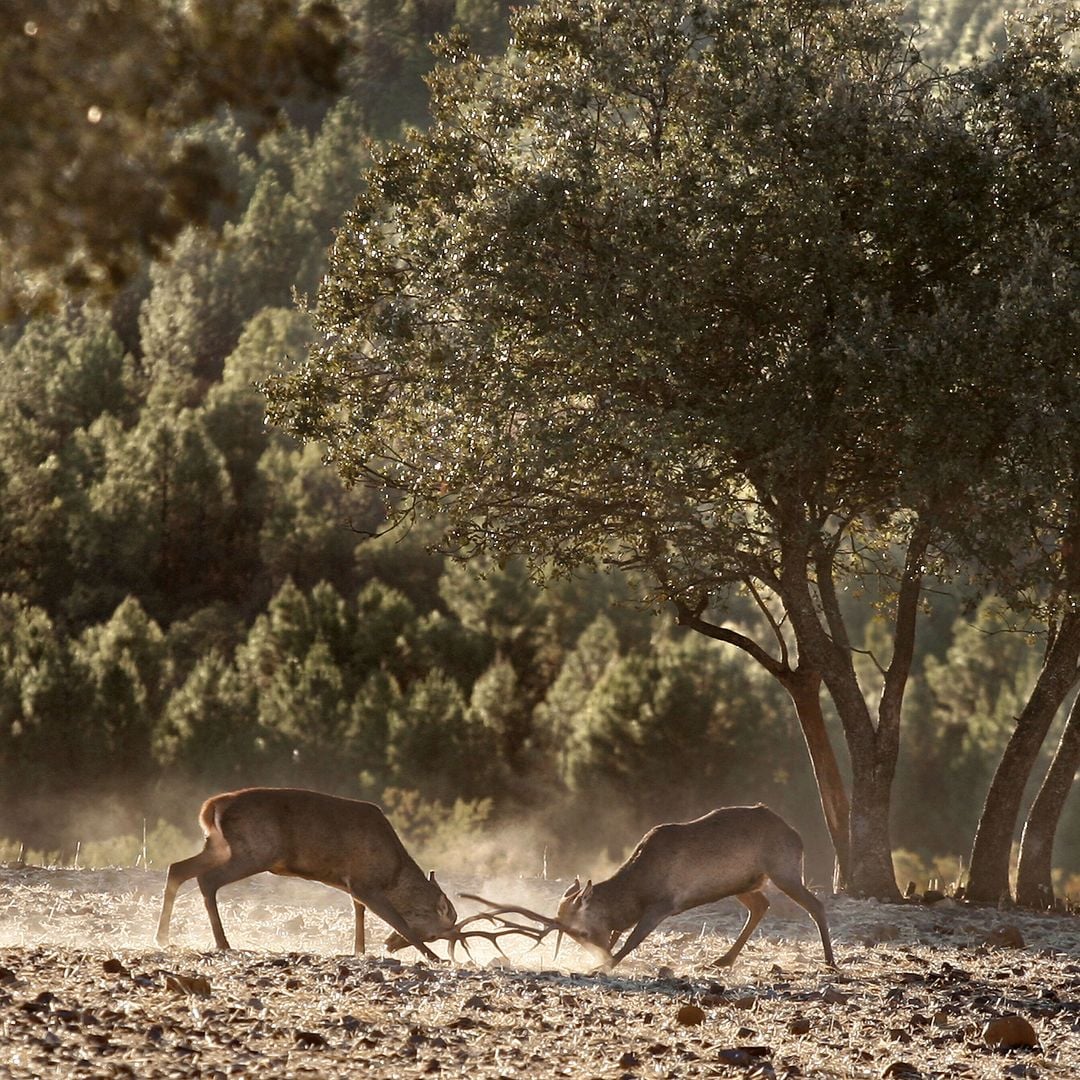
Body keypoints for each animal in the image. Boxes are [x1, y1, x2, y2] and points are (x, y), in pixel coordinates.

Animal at [154, 790, 457, 959]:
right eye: (434, 935)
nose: (389, 946)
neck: (393, 874)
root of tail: (212, 807)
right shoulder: (366, 884)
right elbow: (399, 922)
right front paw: (434, 958)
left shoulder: (353, 886)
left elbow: (358, 914)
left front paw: (359, 951)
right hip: (253, 851)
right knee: (207, 880)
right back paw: (223, 943)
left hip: (219, 846)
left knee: (177, 868)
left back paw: (163, 938)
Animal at [464, 803, 833, 972]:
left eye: (580, 931)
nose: (598, 952)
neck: (636, 891)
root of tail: (796, 835)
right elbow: (626, 935)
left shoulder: (663, 904)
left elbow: (634, 938)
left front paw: (605, 965)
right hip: (744, 882)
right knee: (761, 906)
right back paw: (723, 960)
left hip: (784, 869)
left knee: (815, 905)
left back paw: (830, 962)